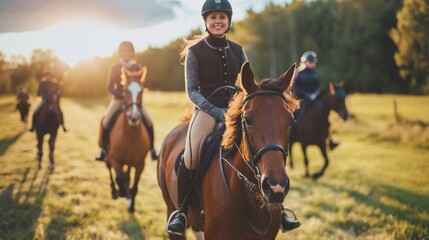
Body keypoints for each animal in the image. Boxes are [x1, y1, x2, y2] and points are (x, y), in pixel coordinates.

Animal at [102, 66, 150, 212]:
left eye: (141, 90)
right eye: (124, 91)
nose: (134, 118)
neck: (131, 136)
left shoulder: (140, 164)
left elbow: (134, 186)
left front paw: (131, 204)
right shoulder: (114, 159)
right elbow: (119, 177)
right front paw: (122, 192)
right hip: (107, 158)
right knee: (110, 171)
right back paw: (115, 191)